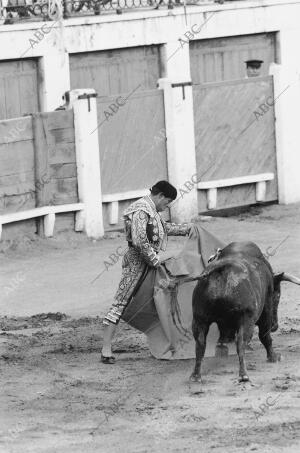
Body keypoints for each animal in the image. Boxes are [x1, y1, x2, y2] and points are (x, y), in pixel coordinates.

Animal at [190, 240, 300, 382]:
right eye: (278, 295)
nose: (275, 326)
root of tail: (222, 270)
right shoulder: (266, 309)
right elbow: (264, 336)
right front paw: (274, 357)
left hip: (199, 319)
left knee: (200, 343)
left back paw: (196, 375)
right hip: (246, 319)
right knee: (241, 343)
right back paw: (243, 374)